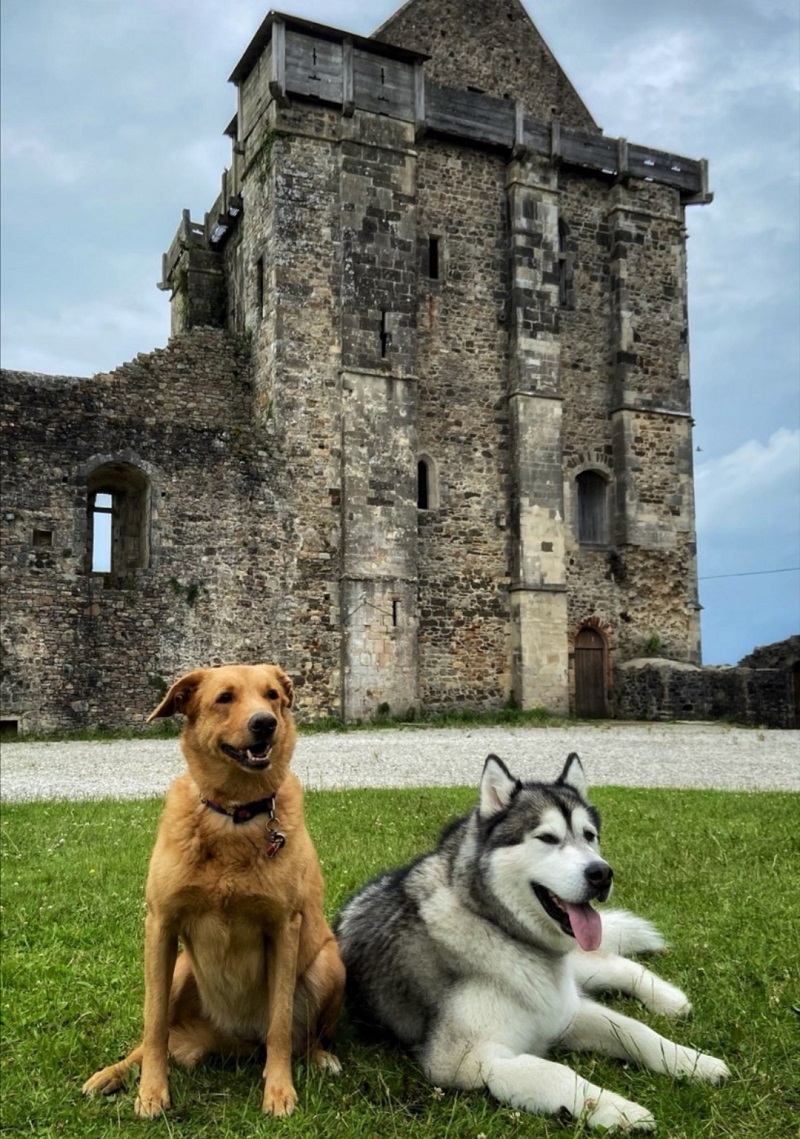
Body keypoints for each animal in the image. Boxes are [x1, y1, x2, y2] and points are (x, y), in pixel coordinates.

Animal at [82, 665, 344, 1116]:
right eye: (225, 698)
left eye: (272, 695)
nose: (266, 723)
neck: (235, 815)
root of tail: (233, 1037)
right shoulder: (161, 924)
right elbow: (154, 1025)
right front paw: (151, 1090)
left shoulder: (284, 928)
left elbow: (280, 1024)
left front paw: (278, 1090)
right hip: (180, 969)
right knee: (156, 1032)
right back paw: (113, 1073)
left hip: (330, 963)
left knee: (299, 1037)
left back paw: (318, 1058)